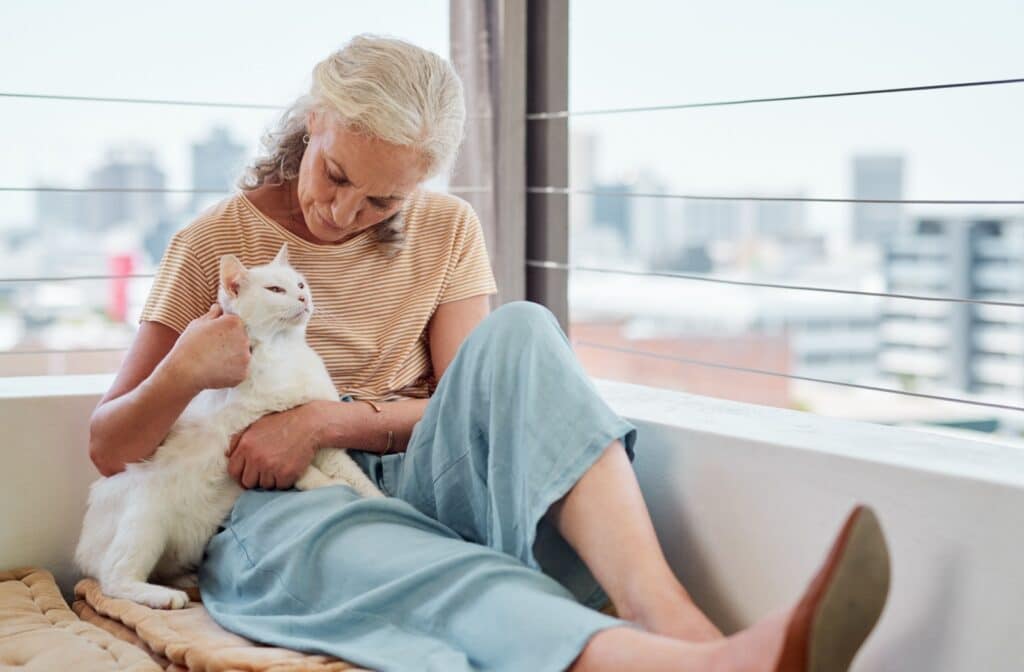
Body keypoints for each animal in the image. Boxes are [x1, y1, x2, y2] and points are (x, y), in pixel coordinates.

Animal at [74, 242, 382, 610]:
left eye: (300, 284)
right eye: (275, 290)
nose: (303, 298)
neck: (284, 352)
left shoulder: (322, 442)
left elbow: (359, 480)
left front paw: (384, 501)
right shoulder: (248, 438)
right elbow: (306, 471)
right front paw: (330, 486)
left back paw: (186, 580)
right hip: (146, 518)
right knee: (114, 579)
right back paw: (165, 596)